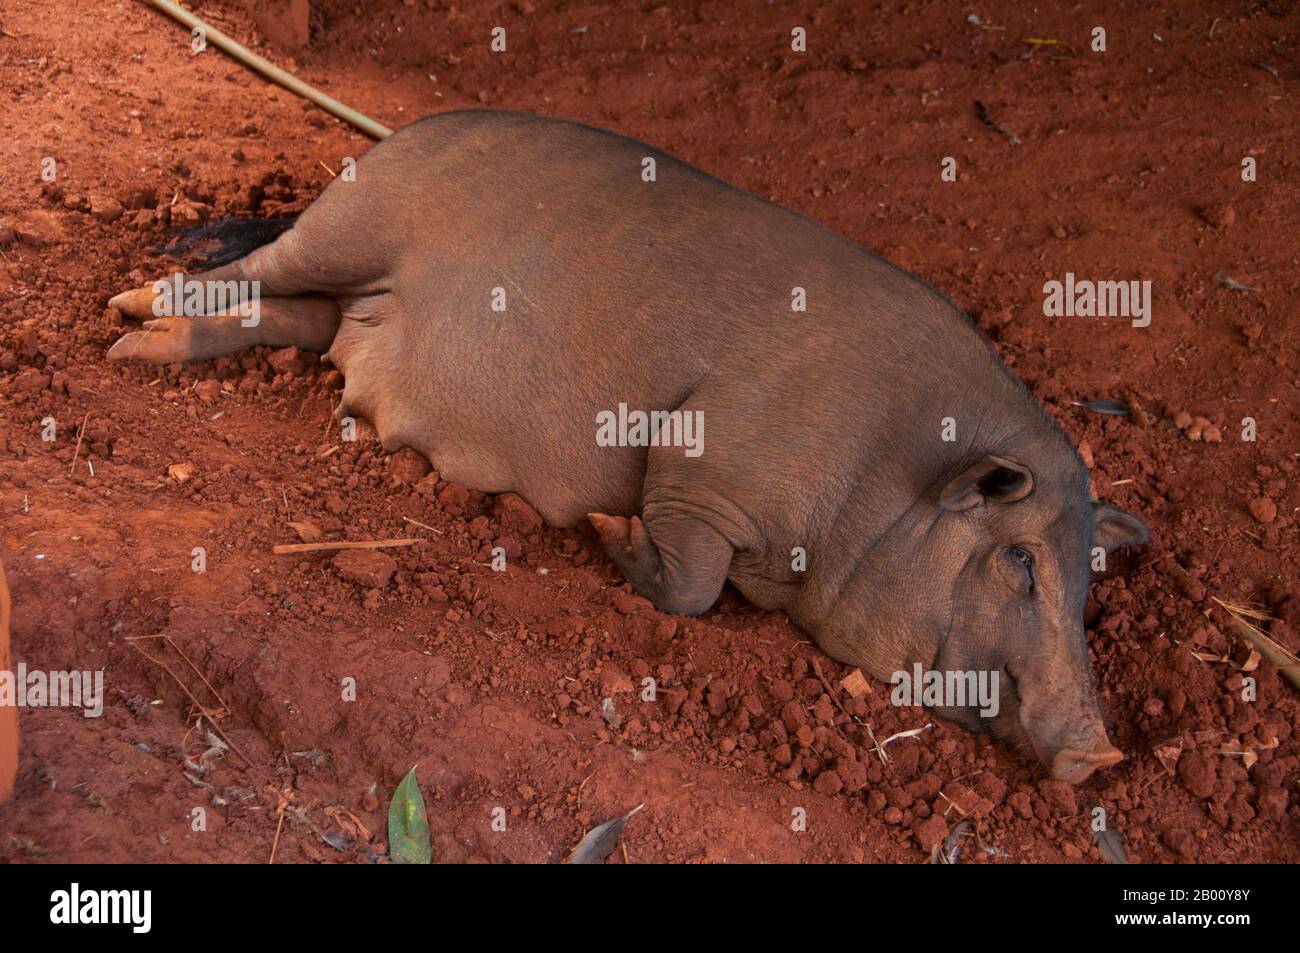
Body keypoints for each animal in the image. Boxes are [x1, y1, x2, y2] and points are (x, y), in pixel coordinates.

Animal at [109, 109, 1149, 780]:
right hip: (353, 219)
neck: (889, 481)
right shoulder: (703, 467)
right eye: (1020, 560)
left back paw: (143, 340)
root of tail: (406, 129)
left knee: (288, 316)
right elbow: (689, 580)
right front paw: (611, 528)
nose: (1101, 752)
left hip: (334, 297)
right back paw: (131, 312)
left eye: (1088, 583)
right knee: (256, 266)